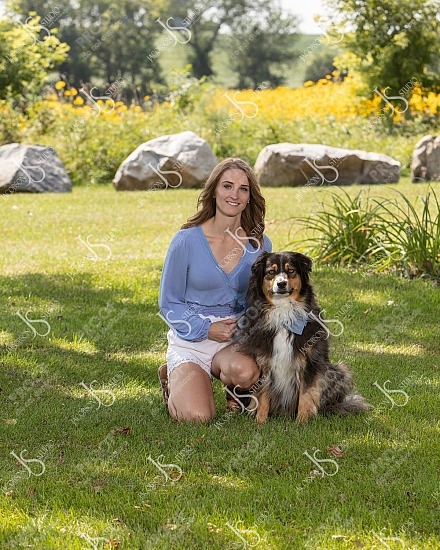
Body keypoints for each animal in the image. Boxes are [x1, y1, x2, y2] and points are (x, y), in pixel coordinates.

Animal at [236, 251, 372, 424]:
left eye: (291, 270)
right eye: (271, 272)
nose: (281, 284)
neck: (284, 313)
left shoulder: (310, 362)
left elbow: (306, 394)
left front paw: (301, 422)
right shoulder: (265, 361)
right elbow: (263, 395)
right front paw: (260, 421)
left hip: (338, 370)